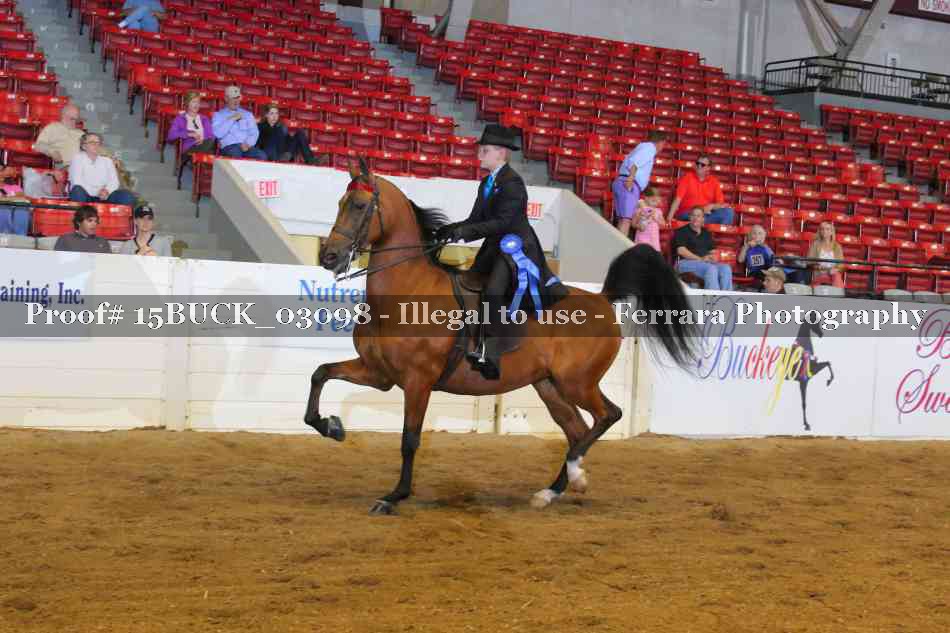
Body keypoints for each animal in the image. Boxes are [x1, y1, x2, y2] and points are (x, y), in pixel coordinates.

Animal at [304, 158, 698, 515]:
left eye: (358, 206)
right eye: (340, 203)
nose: (329, 256)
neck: (407, 292)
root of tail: (602, 298)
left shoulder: (418, 381)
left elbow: (409, 440)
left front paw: (394, 496)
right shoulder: (379, 373)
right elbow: (320, 374)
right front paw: (331, 426)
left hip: (577, 383)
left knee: (607, 416)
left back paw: (575, 474)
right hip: (549, 386)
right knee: (576, 430)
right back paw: (553, 491)